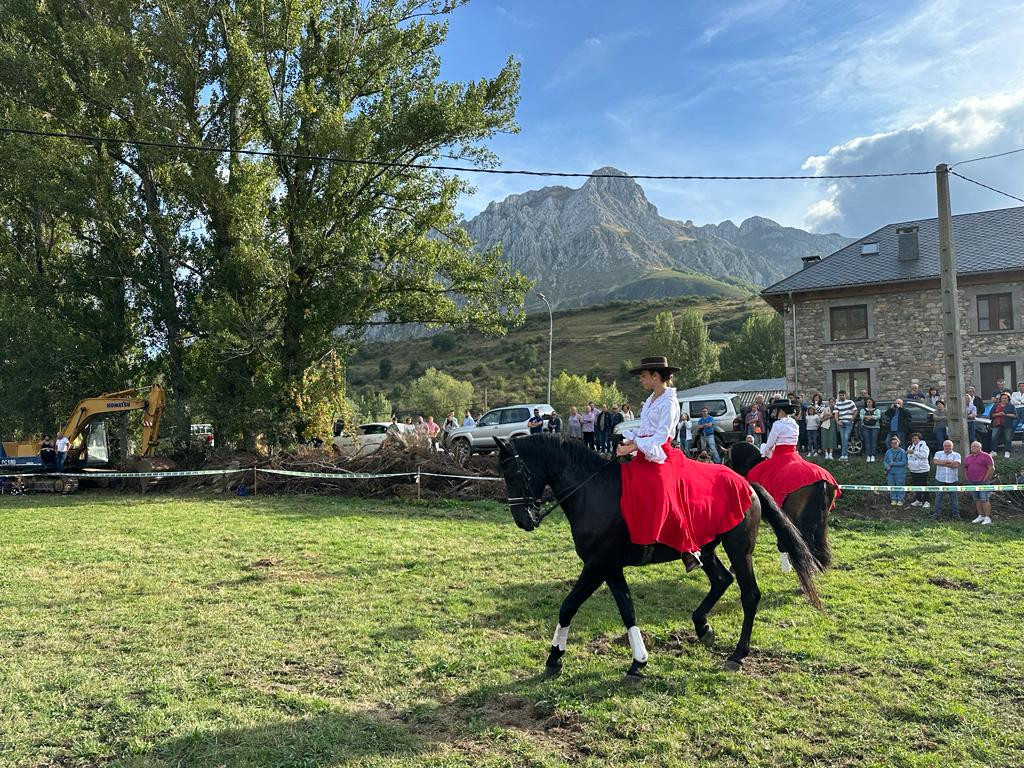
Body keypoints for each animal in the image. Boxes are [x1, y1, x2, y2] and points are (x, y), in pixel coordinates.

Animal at [495, 434, 823, 679]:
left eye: (512, 474)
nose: (522, 521)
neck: (593, 492)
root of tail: (747, 485)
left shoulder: (597, 565)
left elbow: (568, 606)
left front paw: (556, 657)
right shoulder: (610, 567)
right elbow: (626, 610)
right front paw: (637, 661)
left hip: (739, 550)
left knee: (750, 594)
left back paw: (737, 654)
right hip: (706, 549)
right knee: (721, 580)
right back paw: (702, 627)